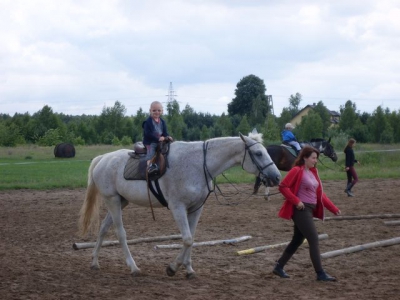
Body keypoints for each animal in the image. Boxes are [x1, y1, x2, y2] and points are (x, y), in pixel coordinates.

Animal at [77, 132, 278, 278]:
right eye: (258, 153)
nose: (276, 177)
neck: (198, 165)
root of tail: (103, 158)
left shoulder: (196, 208)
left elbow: (192, 238)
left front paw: (189, 270)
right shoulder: (178, 207)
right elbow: (187, 238)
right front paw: (172, 268)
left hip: (120, 201)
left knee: (103, 228)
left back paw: (94, 262)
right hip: (112, 200)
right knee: (120, 234)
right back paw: (133, 267)